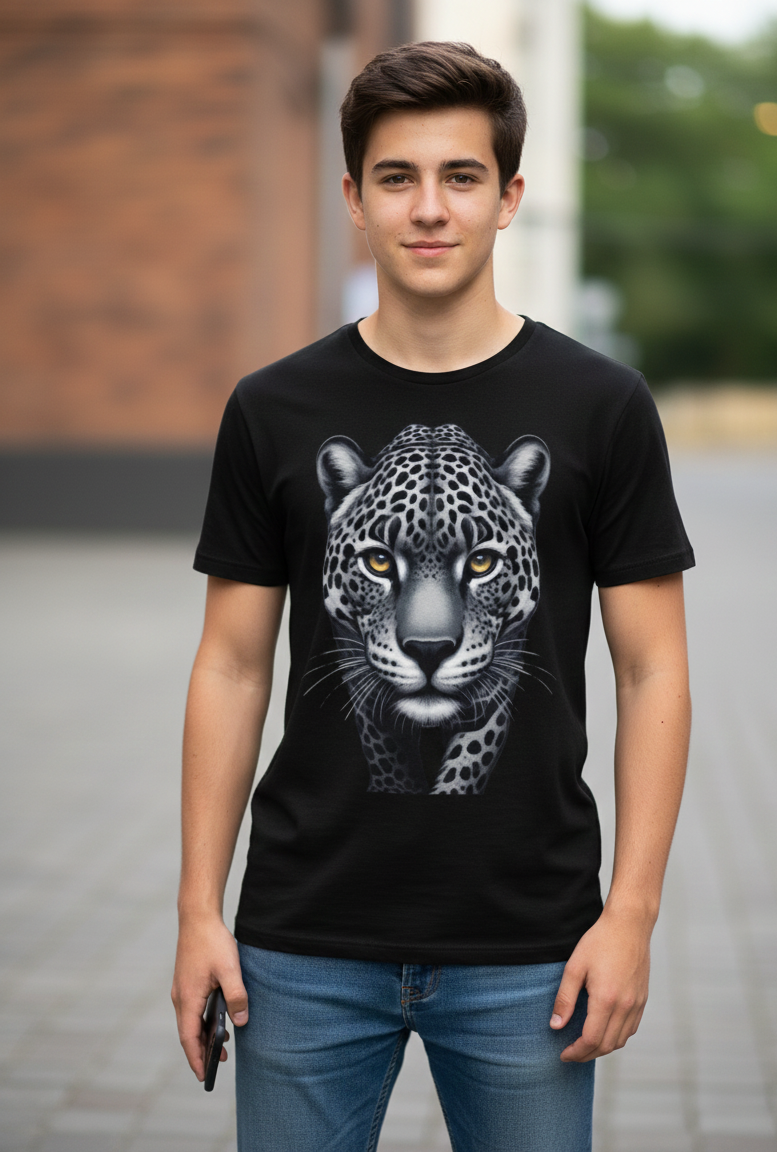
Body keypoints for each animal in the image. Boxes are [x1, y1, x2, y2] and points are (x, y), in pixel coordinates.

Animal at [311, 423, 551, 795]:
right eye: (379, 562)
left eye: (481, 562)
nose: (429, 651)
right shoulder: (358, 671)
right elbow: (387, 754)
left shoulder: (500, 678)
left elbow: (469, 760)